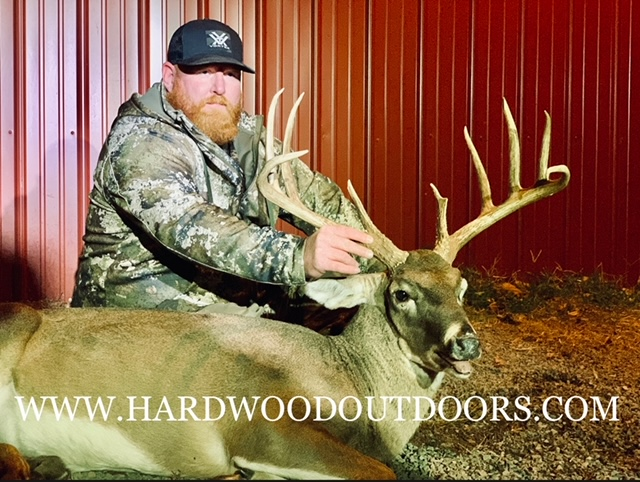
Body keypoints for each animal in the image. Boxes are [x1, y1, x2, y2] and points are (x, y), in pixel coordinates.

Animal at [0, 89, 570, 480]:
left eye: (461, 285)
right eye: (401, 294)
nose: (466, 342)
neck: (354, 389)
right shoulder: (258, 424)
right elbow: (382, 471)